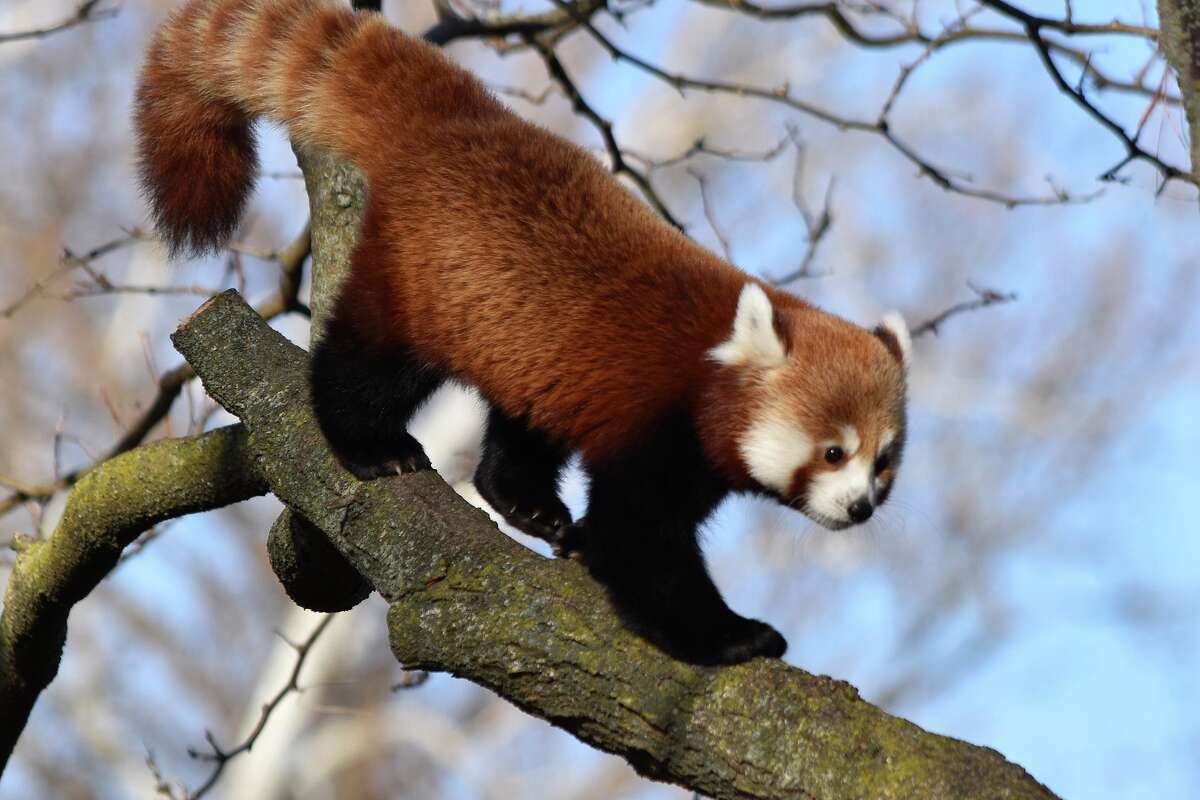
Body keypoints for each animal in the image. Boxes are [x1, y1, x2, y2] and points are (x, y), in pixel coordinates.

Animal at [136, 0, 902, 662]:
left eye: (884, 463)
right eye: (834, 452)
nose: (862, 507)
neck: (708, 374)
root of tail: (466, 123)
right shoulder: (654, 425)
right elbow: (639, 548)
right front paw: (733, 636)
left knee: (522, 426)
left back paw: (527, 503)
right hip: (421, 282)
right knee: (369, 365)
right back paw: (372, 445)